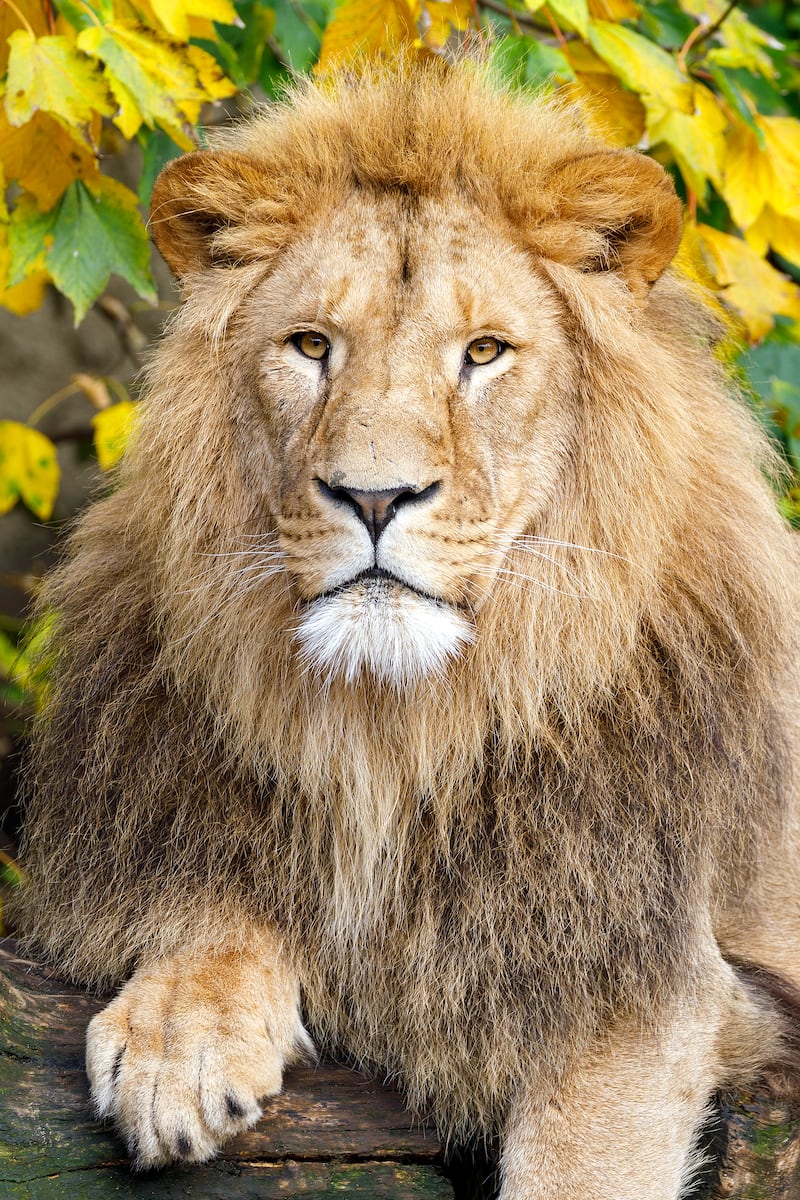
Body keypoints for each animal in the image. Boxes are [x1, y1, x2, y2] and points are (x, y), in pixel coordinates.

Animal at [15, 60, 800, 1199]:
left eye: (484, 353)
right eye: (309, 346)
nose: (374, 496)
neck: (396, 731)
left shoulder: (648, 985)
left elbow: (579, 1165)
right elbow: (222, 889)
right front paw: (179, 1041)